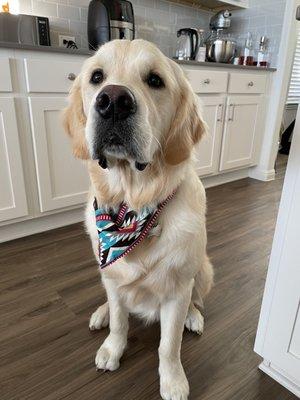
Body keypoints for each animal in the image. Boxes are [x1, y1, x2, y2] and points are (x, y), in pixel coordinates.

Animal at [63, 39, 213, 400]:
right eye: (97, 77)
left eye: (155, 80)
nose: (113, 101)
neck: (134, 207)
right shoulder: (114, 276)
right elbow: (120, 321)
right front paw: (112, 348)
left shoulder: (177, 290)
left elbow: (169, 345)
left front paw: (173, 380)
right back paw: (101, 314)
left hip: (202, 270)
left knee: (195, 299)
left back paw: (194, 317)